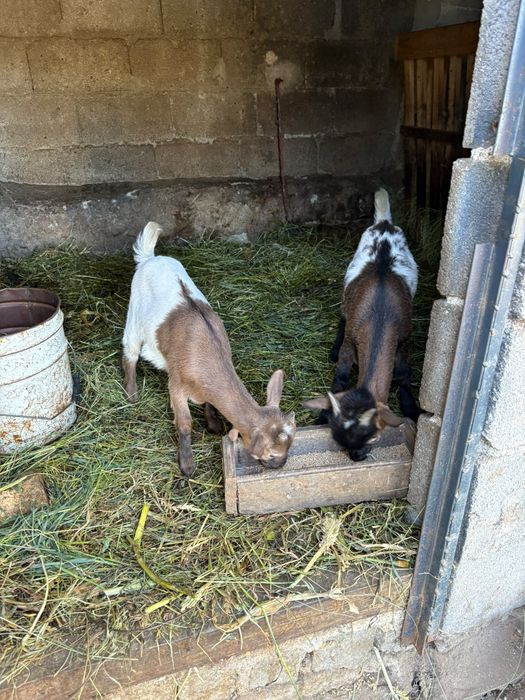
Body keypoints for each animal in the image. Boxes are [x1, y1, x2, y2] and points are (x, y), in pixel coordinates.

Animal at [122, 222, 296, 477]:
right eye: (271, 454)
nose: (280, 465)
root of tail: (150, 258)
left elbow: (210, 403)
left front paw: (213, 424)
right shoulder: (176, 385)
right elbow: (184, 424)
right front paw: (187, 465)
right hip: (134, 315)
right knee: (130, 352)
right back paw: (131, 393)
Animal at [303, 188, 419, 461]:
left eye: (375, 436)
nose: (356, 456)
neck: (380, 321)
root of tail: (384, 224)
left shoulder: (404, 337)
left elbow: (402, 373)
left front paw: (411, 407)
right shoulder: (352, 339)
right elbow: (341, 377)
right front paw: (322, 416)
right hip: (348, 284)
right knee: (343, 314)